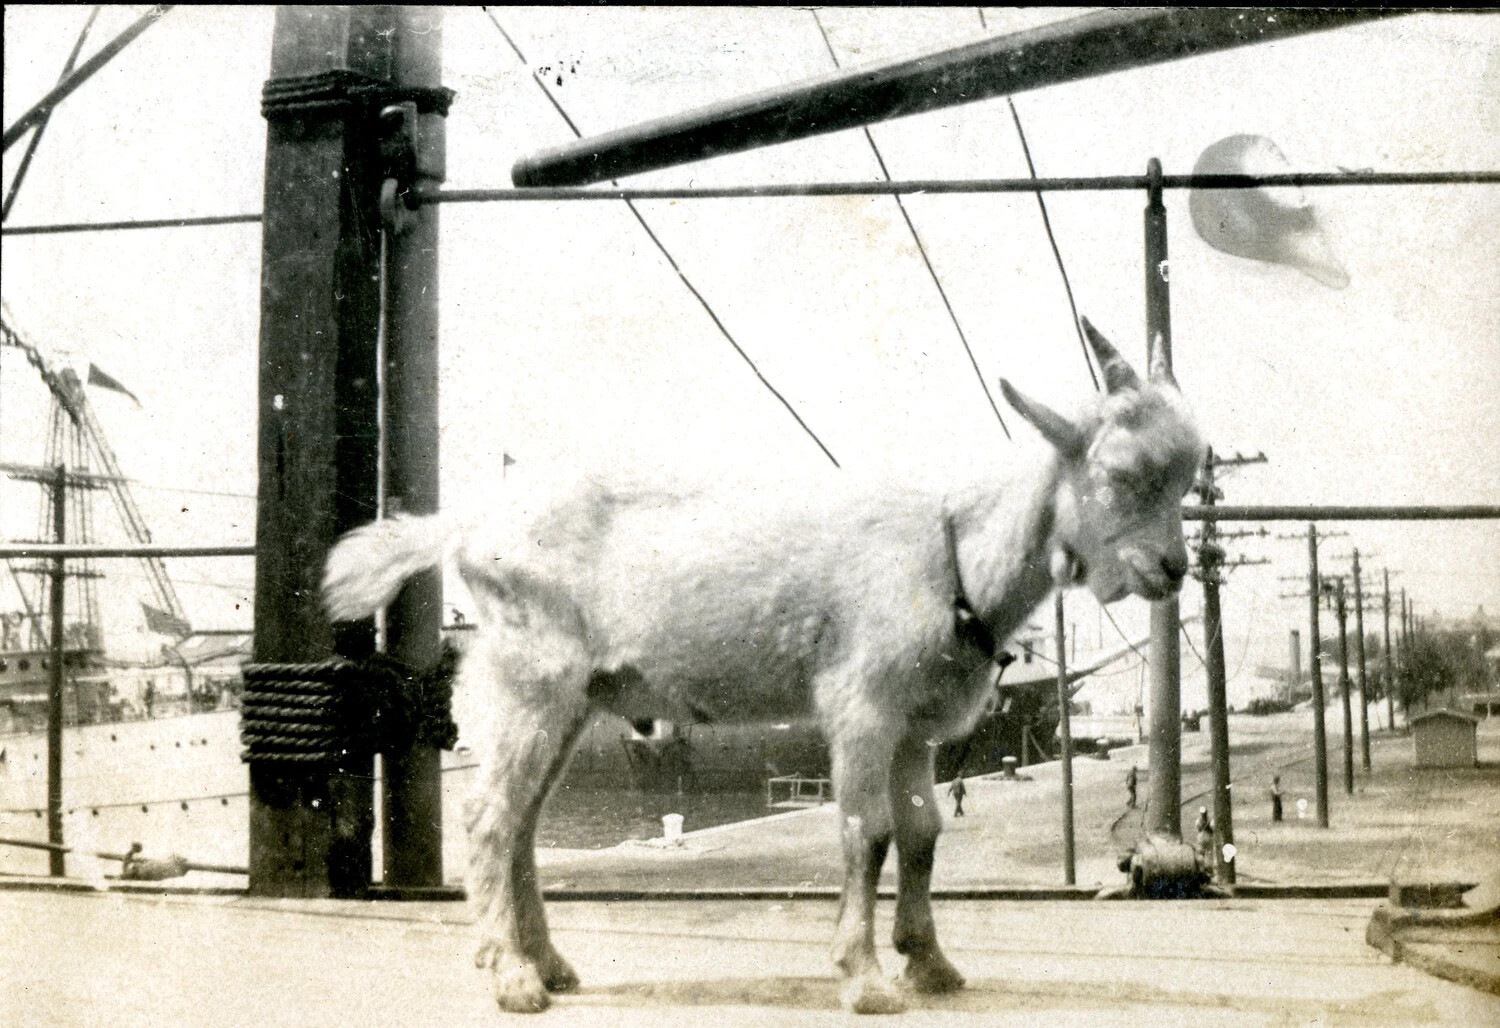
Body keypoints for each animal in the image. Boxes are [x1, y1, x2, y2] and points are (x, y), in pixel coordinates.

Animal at [322, 318, 1204, 1015]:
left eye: (1190, 473)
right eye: (1121, 474)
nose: (1173, 569)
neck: (954, 546)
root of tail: (470, 524)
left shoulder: (915, 723)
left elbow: (922, 833)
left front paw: (932, 965)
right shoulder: (862, 702)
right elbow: (867, 830)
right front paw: (865, 980)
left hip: (569, 697)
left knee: (524, 821)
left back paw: (551, 965)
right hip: (528, 672)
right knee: (488, 817)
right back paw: (512, 978)